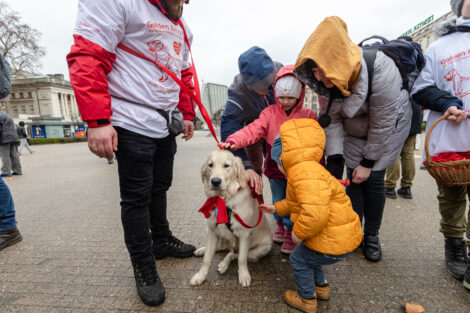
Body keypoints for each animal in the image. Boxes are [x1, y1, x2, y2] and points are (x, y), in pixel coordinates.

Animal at [190, 150, 274, 286]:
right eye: (210, 165)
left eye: (226, 165)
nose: (215, 181)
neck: (224, 200)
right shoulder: (212, 231)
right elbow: (207, 258)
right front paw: (200, 276)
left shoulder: (244, 234)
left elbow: (241, 259)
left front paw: (244, 276)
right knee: (224, 249)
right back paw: (202, 250)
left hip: (260, 249)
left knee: (234, 254)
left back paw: (223, 264)